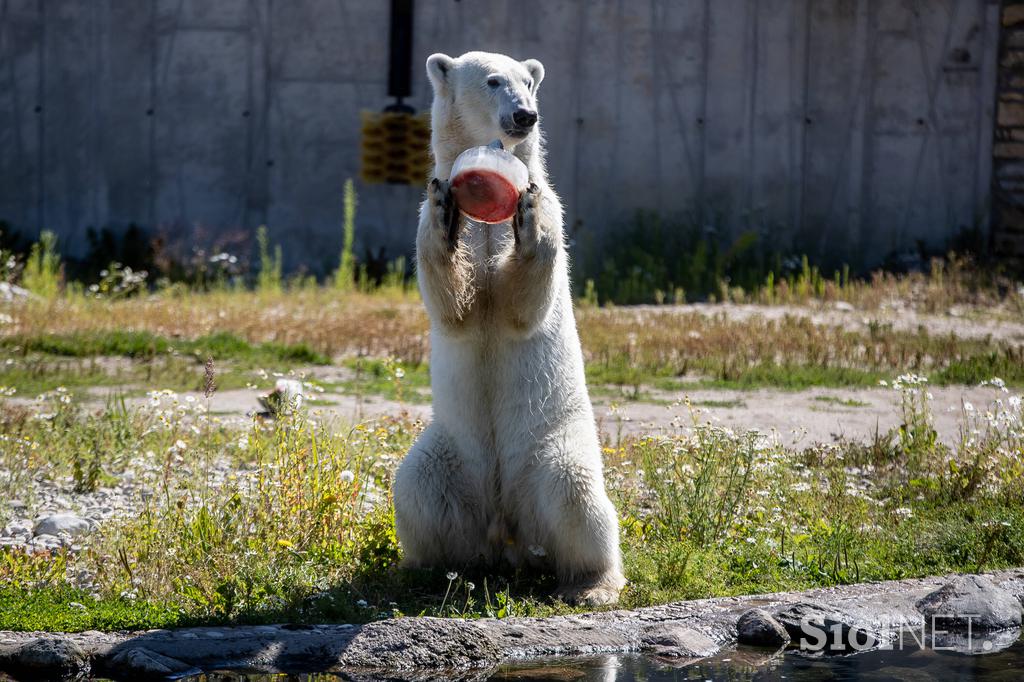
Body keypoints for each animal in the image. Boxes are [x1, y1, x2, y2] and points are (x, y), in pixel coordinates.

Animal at [395, 50, 626, 602]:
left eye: (529, 82)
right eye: (493, 81)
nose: (525, 115)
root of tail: (507, 532)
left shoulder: (558, 213)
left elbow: (525, 306)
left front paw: (528, 214)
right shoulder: (424, 214)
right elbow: (453, 307)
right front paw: (446, 215)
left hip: (554, 447)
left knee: (577, 496)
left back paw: (592, 584)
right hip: (449, 450)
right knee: (416, 488)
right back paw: (423, 568)